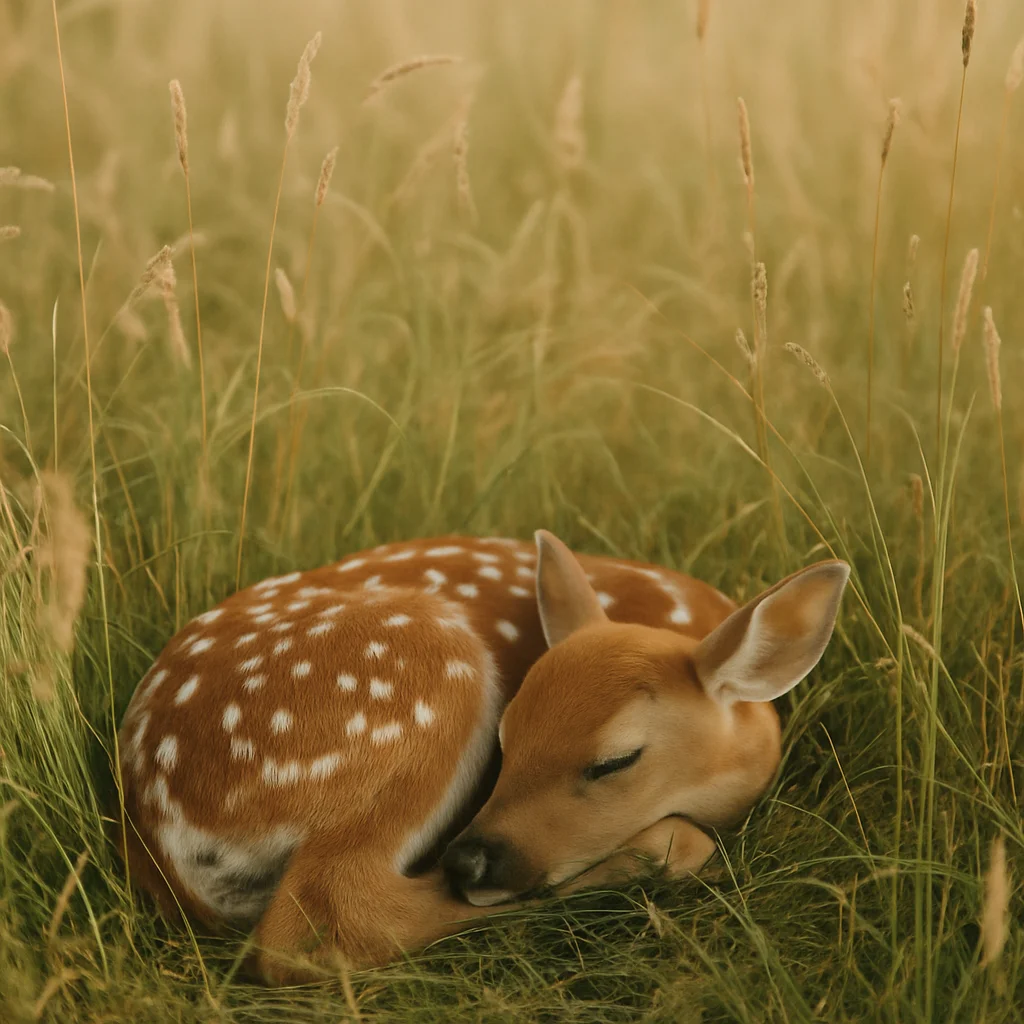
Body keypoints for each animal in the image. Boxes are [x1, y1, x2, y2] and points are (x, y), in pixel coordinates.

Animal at [116, 529, 849, 984]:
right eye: (506, 736)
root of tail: (155, 827)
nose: (468, 859)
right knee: (328, 919)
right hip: (424, 676)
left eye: (616, 761)